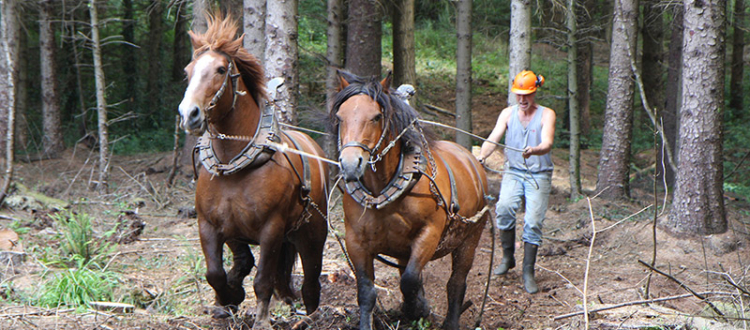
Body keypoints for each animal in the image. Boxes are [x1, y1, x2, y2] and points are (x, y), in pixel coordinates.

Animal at [178, 12, 330, 328]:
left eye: (220, 69)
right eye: (188, 71)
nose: (189, 114)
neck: (233, 165)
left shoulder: (271, 229)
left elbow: (263, 280)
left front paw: (261, 319)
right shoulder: (210, 225)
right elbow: (216, 273)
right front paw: (228, 299)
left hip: (312, 234)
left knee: (310, 281)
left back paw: (311, 316)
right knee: (246, 262)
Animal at [332, 71, 490, 330]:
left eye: (376, 117)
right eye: (340, 117)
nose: (350, 164)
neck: (383, 192)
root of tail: (472, 161)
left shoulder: (429, 233)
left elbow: (410, 280)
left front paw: (418, 308)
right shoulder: (356, 241)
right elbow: (366, 292)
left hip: (470, 238)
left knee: (456, 282)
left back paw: (448, 320)